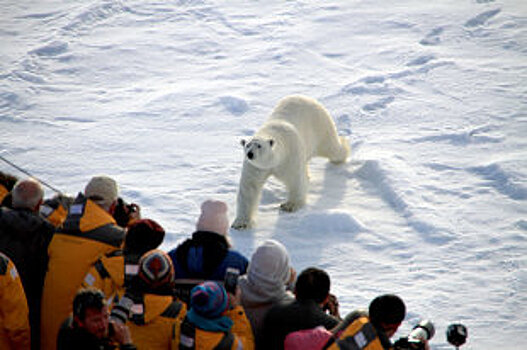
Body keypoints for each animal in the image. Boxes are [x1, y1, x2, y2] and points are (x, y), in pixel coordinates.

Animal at [232, 94, 350, 230]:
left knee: (332, 148)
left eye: (259, 146)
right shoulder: (255, 167)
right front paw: (240, 223)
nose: (250, 154)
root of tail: (305, 97)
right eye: (247, 145)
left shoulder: (290, 155)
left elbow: (295, 179)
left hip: (321, 126)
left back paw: (343, 150)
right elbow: (249, 188)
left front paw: (289, 205)